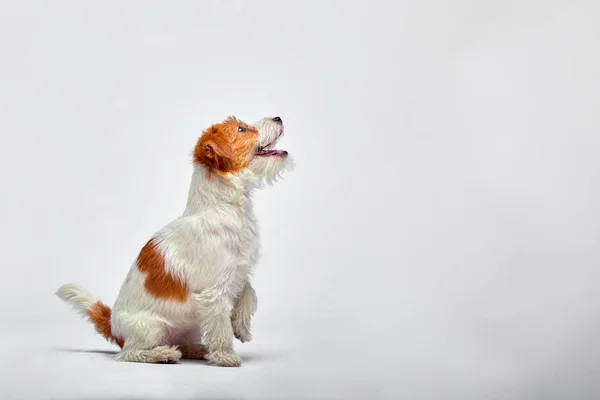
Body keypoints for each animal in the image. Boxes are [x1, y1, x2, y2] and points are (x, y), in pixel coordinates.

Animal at [56, 115, 292, 366]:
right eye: (242, 129)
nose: (278, 117)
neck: (221, 206)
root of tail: (113, 326)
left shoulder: (237, 269)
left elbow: (248, 291)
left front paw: (241, 326)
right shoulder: (214, 292)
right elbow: (220, 326)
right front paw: (224, 355)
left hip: (189, 327)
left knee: (181, 344)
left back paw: (197, 349)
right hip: (151, 328)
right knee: (129, 353)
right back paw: (163, 354)